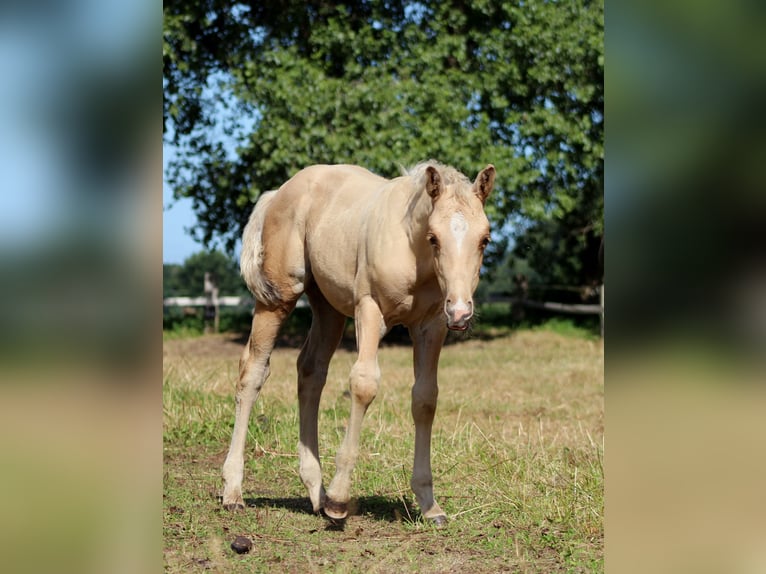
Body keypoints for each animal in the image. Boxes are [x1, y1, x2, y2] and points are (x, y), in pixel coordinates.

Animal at [222, 160, 495, 525]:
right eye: (434, 238)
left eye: (485, 239)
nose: (462, 311)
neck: (414, 253)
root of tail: (278, 192)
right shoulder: (369, 309)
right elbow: (364, 384)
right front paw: (340, 500)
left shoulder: (432, 324)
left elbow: (425, 398)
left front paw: (429, 504)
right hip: (279, 297)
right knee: (253, 371)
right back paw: (234, 492)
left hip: (328, 307)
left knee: (311, 371)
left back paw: (316, 492)